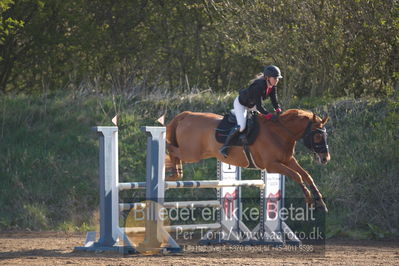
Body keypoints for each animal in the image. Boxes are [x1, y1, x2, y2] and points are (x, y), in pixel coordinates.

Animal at [166, 108, 332, 212]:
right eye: (318, 135)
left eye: (325, 135)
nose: (326, 158)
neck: (280, 133)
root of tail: (186, 115)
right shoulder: (272, 165)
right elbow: (297, 176)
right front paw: (309, 201)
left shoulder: (288, 160)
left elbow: (306, 176)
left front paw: (321, 203)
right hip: (191, 153)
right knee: (171, 149)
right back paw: (174, 174)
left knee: (174, 153)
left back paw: (175, 173)